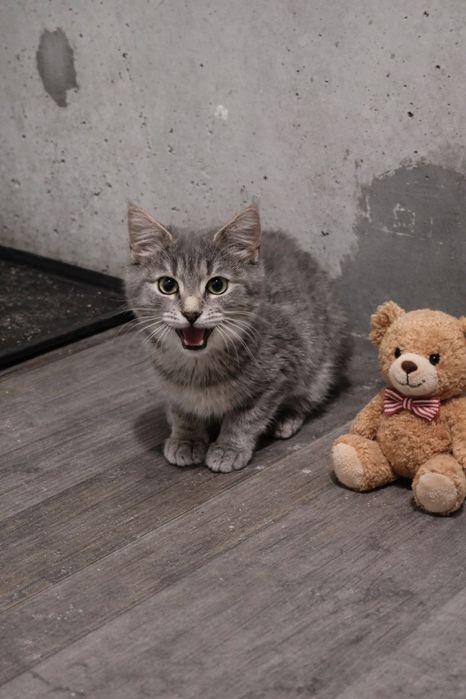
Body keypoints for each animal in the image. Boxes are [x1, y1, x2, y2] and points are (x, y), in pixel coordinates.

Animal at [125, 204, 350, 472]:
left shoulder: (279, 372)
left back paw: (286, 418)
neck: (197, 368)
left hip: (322, 365)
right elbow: (182, 410)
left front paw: (229, 447)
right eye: (167, 285)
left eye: (217, 285)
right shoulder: (169, 385)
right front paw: (186, 438)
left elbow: (246, 417)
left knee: (309, 395)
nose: (191, 313)